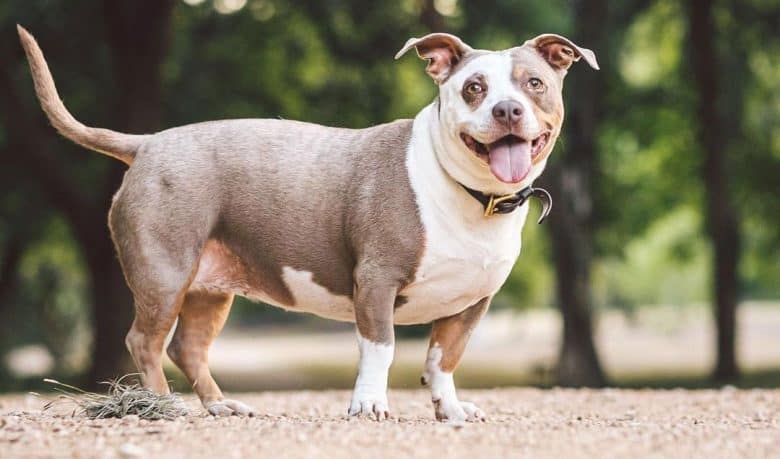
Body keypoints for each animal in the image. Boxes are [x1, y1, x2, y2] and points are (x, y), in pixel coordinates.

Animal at [18, 26, 596, 424]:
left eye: (534, 83)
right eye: (474, 87)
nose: (507, 110)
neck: (471, 196)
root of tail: (148, 143)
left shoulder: (472, 301)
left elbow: (443, 359)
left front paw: (450, 409)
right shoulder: (376, 282)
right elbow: (380, 349)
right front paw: (369, 405)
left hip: (208, 289)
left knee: (188, 347)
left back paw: (220, 407)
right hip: (164, 274)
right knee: (144, 341)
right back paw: (167, 406)